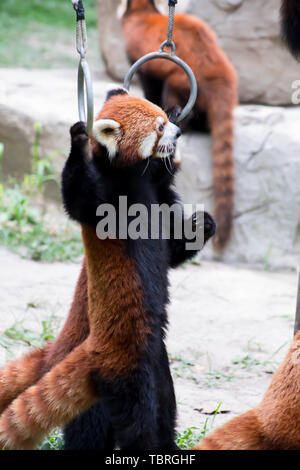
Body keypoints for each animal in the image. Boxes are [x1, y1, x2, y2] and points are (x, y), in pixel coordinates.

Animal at [0, 88, 216, 452]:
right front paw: (77, 140)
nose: (177, 133)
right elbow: (77, 199)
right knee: (123, 418)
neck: (135, 178)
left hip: (156, 360)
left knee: (164, 403)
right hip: (125, 369)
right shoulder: (106, 196)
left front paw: (202, 224)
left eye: (165, 118)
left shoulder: (158, 201)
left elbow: (171, 251)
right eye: (159, 128)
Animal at [120, 0, 238, 252]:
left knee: (171, 92)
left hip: (179, 81)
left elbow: (149, 85)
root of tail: (221, 74)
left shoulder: (142, 61)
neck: (143, 12)